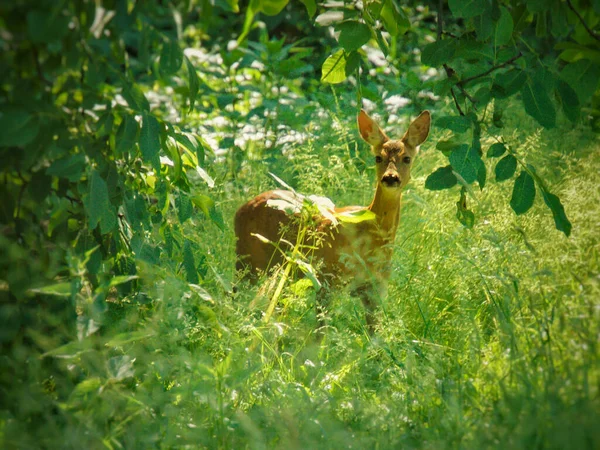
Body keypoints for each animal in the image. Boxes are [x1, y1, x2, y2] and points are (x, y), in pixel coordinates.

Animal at [234, 109, 432, 332]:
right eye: (378, 157)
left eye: (406, 158)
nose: (390, 178)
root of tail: (240, 209)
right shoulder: (327, 280)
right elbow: (320, 332)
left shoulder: (377, 289)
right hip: (248, 260)